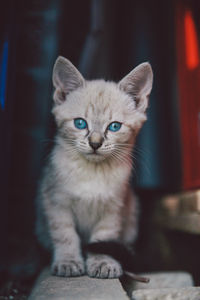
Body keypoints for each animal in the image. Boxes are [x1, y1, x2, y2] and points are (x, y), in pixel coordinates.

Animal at [35, 55, 153, 278]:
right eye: (80, 123)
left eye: (114, 126)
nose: (95, 143)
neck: (92, 173)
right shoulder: (56, 202)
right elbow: (65, 235)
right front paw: (68, 261)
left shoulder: (114, 208)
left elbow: (102, 237)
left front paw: (103, 262)